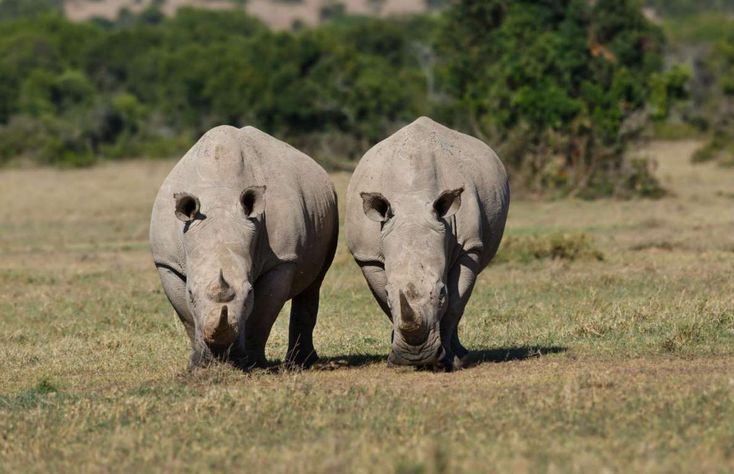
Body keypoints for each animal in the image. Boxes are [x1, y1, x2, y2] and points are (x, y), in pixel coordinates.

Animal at [150, 125, 338, 369]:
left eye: (249, 292)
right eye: (191, 293)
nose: (221, 351)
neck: (218, 198)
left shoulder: (282, 260)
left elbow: (262, 315)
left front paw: (253, 363)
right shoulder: (167, 262)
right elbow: (187, 317)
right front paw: (199, 366)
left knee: (314, 282)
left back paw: (301, 362)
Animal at [346, 117, 509, 370]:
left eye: (441, 292)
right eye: (389, 292)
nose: (417, 355)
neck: (412, 198)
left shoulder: (468, 247)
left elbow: (455, 303)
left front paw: (451, 361)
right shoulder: (368, 257)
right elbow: (385, 303)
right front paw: (399, 359)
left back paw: (460, 355)